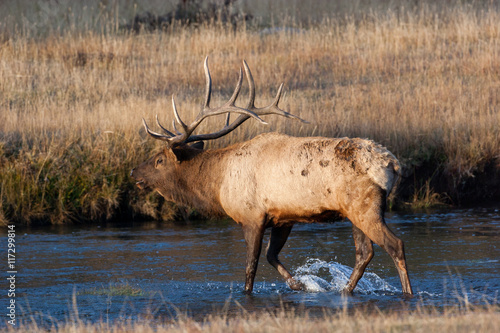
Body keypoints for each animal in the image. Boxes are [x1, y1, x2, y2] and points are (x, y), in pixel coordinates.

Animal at [130, 57, 414, 294]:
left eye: (159, 160)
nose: (134, 171)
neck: (218, 185)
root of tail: (393, 164)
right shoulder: (283, 217)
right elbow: (271, 255)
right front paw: (299, 285)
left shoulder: (252, 216)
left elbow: (251, 268)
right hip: (354, 211)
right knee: (364, 253)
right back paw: (345, 290)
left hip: (364, 205)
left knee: (396, 245)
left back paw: (407, 294)